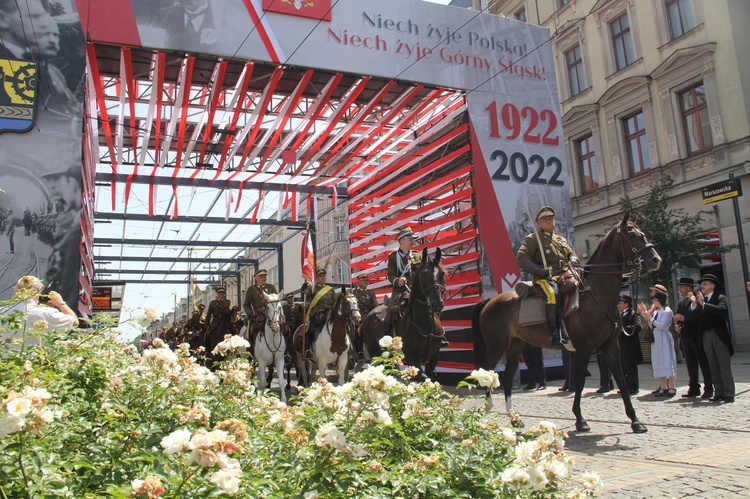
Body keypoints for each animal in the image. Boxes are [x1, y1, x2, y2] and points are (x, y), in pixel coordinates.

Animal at [362, 248, 446, 380]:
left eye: (442, 273)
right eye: (424, 274)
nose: (437, 304)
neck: (425, 323)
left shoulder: (433, 357)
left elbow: (429, 379)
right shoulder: (410, 355)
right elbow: (423, 377)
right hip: (374, 351)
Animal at [476, 213, 664, 436]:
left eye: (642, 232)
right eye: (632, 234)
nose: (656, 259)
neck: (596, 295)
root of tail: (491, 301)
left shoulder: (611, 345)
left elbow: (622, 380)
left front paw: (636, 421)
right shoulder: (584, 347)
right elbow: (580, 381)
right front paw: (580, 420)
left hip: (515, 346)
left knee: (506, 379)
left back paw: (515, 419)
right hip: (497, 346)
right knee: (487, 374)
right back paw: (488, 411)